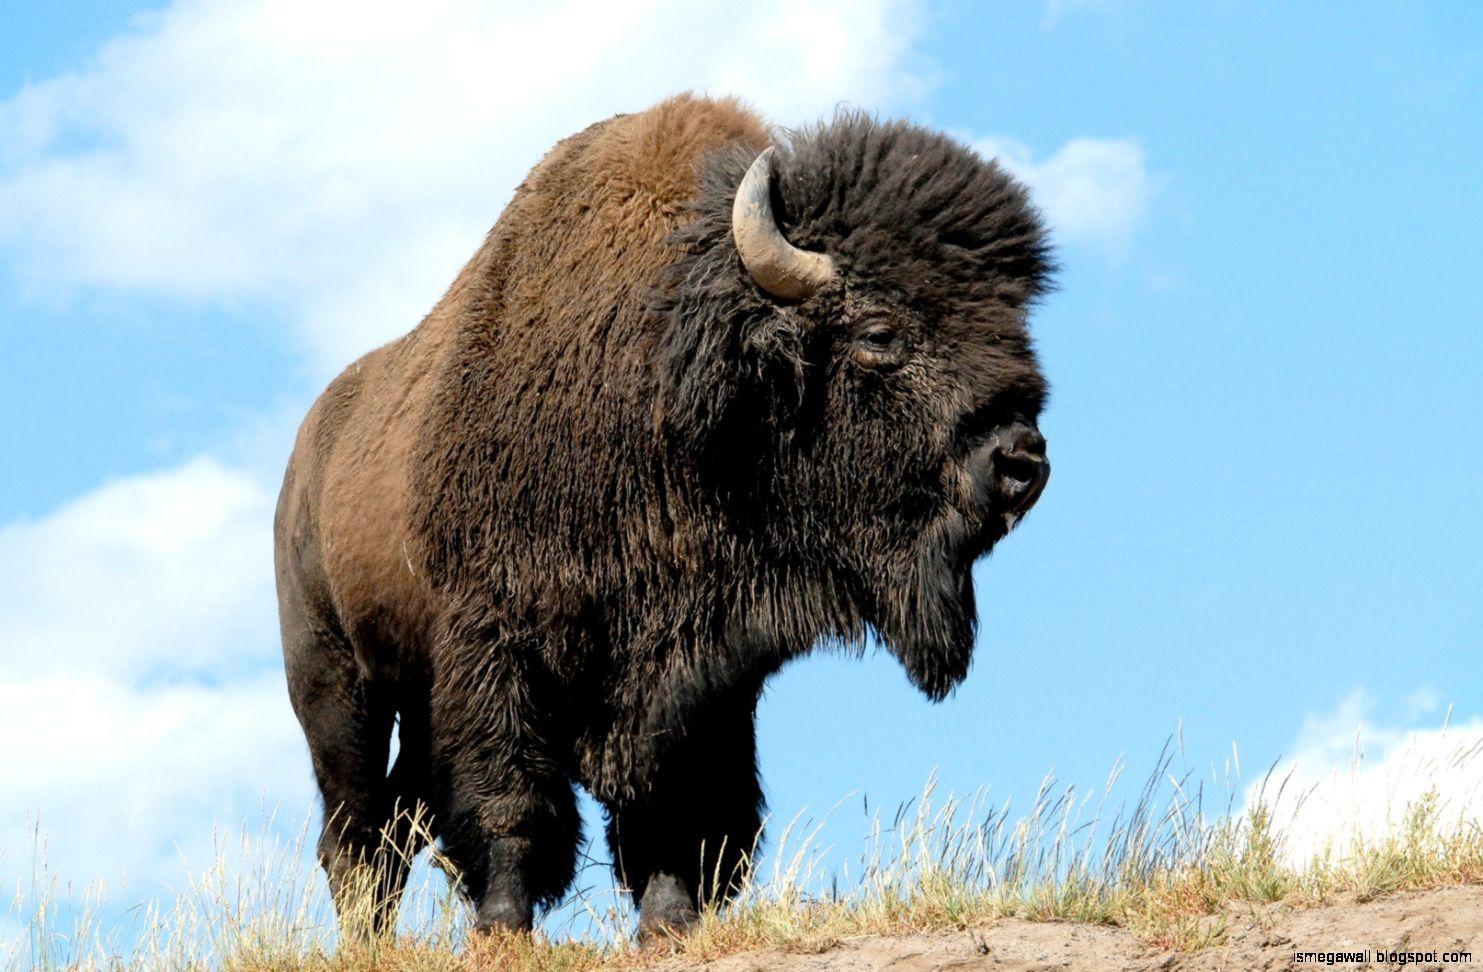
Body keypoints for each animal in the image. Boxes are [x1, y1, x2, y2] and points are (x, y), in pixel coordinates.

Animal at [274, 94, 1053, 938]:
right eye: (879, 333)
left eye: (1013, 325)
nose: (1021, 460)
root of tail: (305, 457)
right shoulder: (495, 640)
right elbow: (512, 797)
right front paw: (504, 924)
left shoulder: (705, 664)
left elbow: (679, 795)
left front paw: (669, 920)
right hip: (335, 682)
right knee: (356, 826)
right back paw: (365, 936)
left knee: (397, 820)